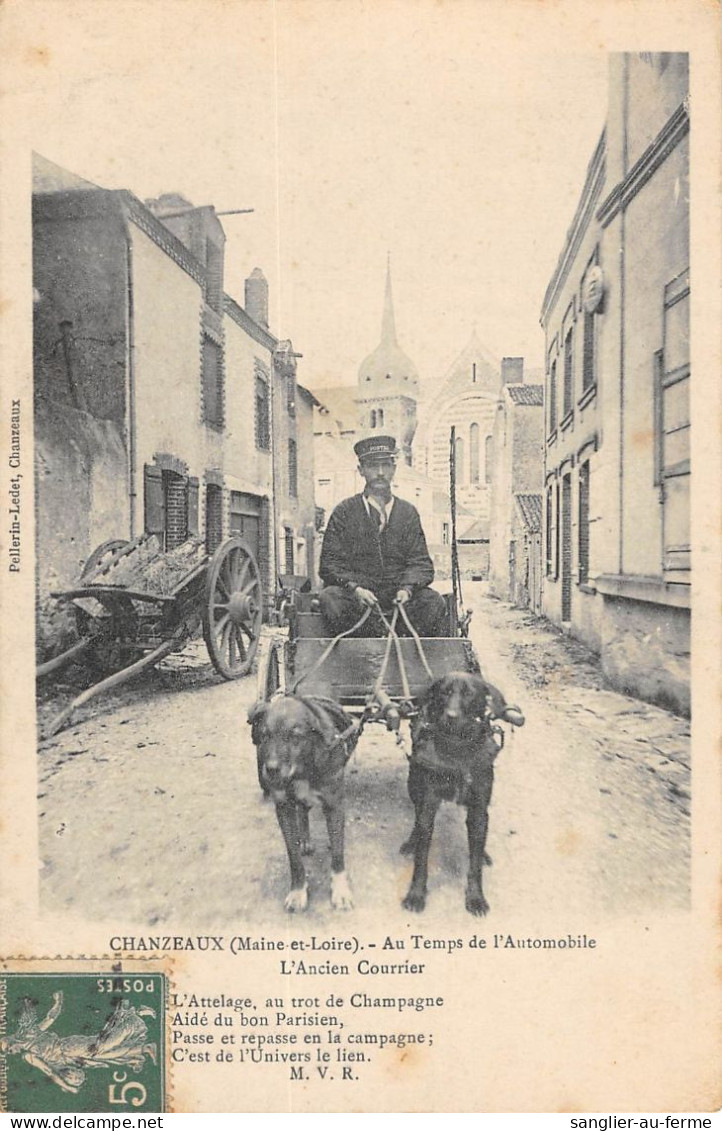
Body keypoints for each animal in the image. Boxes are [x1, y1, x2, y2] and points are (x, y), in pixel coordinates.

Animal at [250, 692, 359, 913]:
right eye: (264, 735)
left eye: (295, 736)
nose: (271, 770)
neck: (303, 769)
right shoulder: (284, 808)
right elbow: (293, 857)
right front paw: (298, 891)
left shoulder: (334, 805)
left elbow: (338, 854)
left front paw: (341, 890)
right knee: (302, 811)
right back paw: (306, 840)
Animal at [402, 669, 525, 918]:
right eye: (444, 692)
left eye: (469, 694)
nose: (450, 716)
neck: (456, 746)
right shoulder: (428, 804)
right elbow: (422, 857)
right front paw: (416, 894)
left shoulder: (479, 809)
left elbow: (475, 864)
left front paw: (476, 898)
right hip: (414, 785)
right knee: (416, 817)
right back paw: (411, 841)